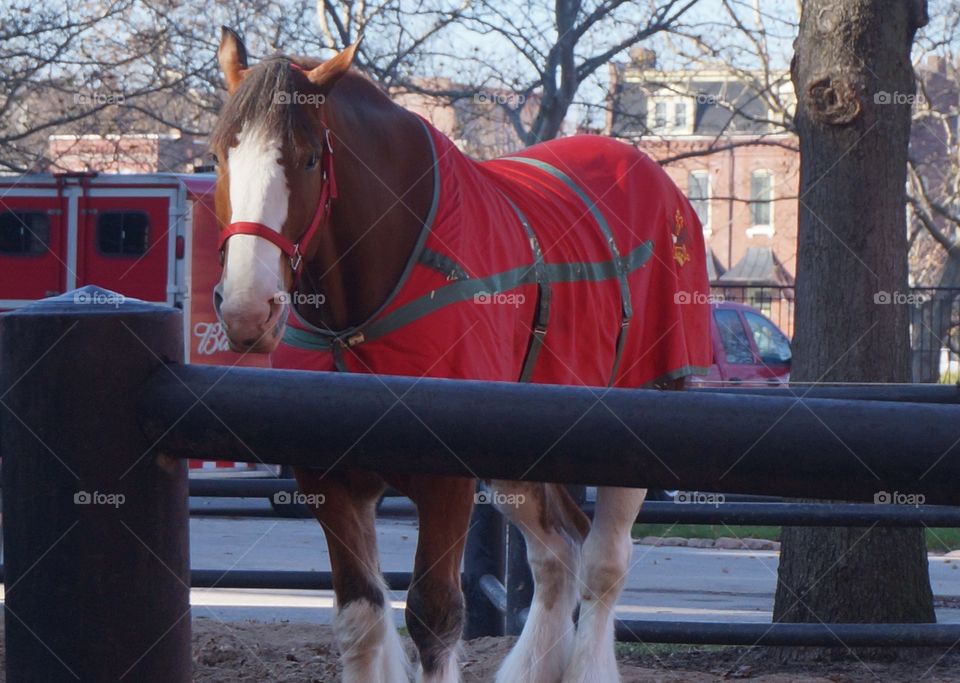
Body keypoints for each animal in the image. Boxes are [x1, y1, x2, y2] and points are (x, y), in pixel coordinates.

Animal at [214, 26, 712, 683]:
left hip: (637, 421)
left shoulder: (445, 480)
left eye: (309, 159)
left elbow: (435, 616)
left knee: (603, 562)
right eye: (219, 155)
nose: (248, 311)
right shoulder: (330, 480)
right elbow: (360, 617)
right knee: (558, 550)